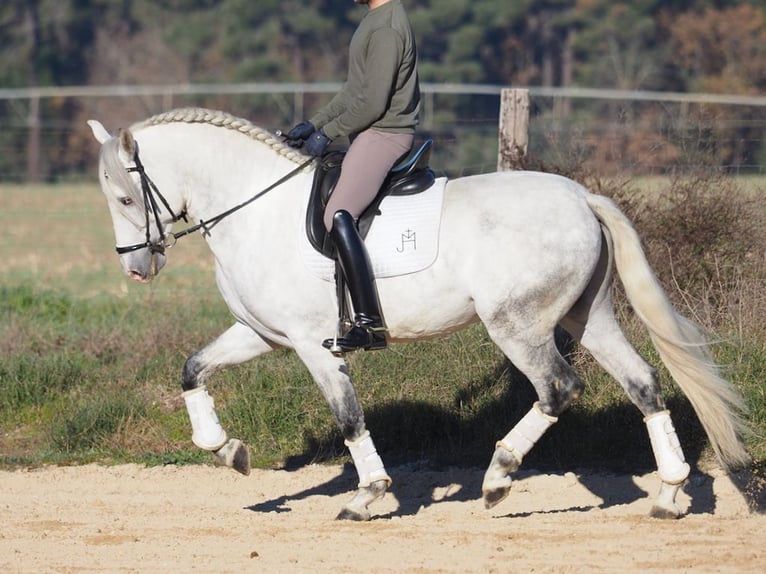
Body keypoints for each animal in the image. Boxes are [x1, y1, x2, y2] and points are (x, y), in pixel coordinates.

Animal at [88, 107, 752, 520]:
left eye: (125, 198)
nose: (136, 270)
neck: (254, 208)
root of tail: (581, 198)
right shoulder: (262, 334)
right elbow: (192, 369)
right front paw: (228, 451)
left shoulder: (310, 344)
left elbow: (349, 417)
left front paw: (367, 496)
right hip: (588, 316)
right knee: (642, 383)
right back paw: (668, 494)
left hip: (517, 325)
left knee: (558, 388)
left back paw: (499, 476)